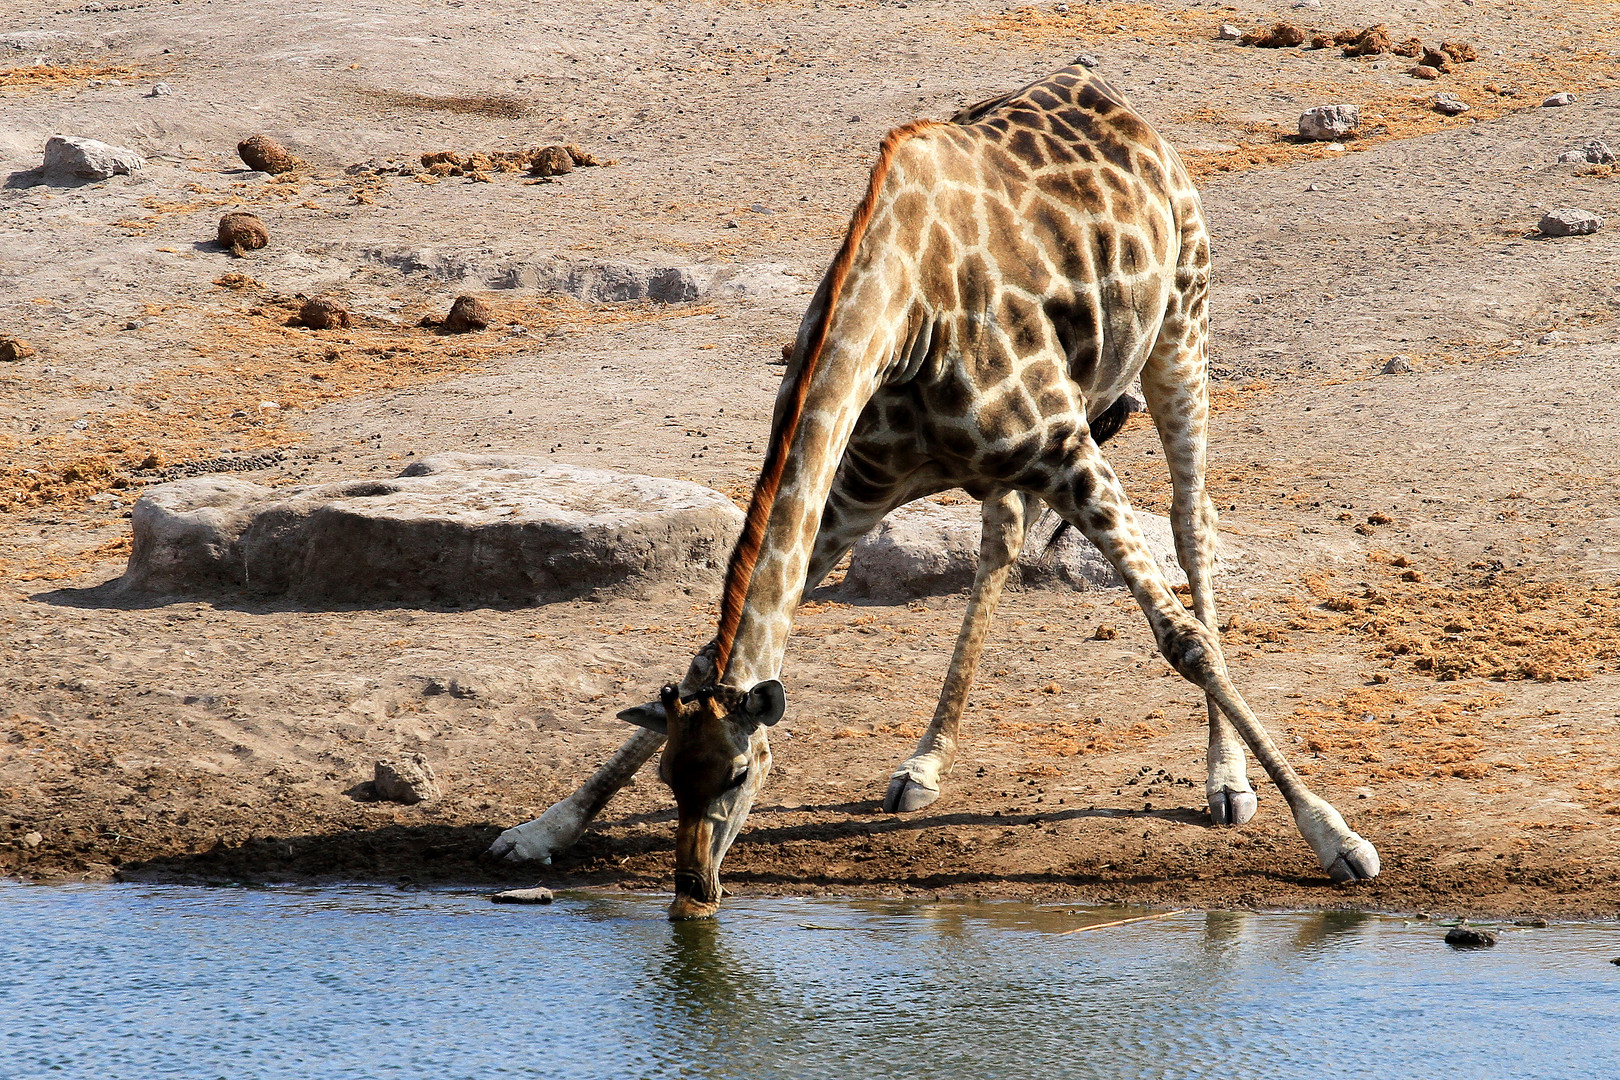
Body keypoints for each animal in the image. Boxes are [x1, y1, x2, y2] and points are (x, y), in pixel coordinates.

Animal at [482, 63, 1380, 919]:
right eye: (673, 778)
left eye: (741, 774)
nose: (694, 891)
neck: (901, 318)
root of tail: (1109, 92)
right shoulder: (853, 491)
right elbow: (707, 652)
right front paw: (543, 828)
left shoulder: (1068, 447)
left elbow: (1182, 640)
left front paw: (1335, 837)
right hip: (1019, 455)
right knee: (1003, 540)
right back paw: (924, 762)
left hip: (1182, 329)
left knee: (1194, 526)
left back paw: (1227, 781)